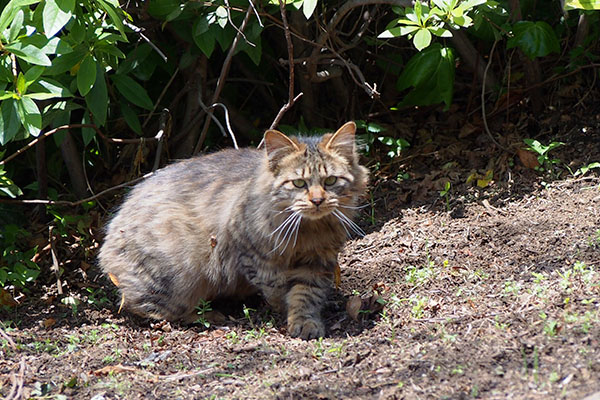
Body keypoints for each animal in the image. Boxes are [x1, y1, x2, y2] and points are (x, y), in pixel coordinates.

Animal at [98, 121, 368, 338]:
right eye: (299, 183)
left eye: (330, 181)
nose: (317, 200)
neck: (308, 231)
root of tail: (110, 234)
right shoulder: (250, 253)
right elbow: (276, 288)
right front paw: (282, 307)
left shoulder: (317, 261)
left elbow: (306, 295)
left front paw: (304, 322)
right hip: (175, 275)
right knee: (147, 309)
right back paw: (209, 316)